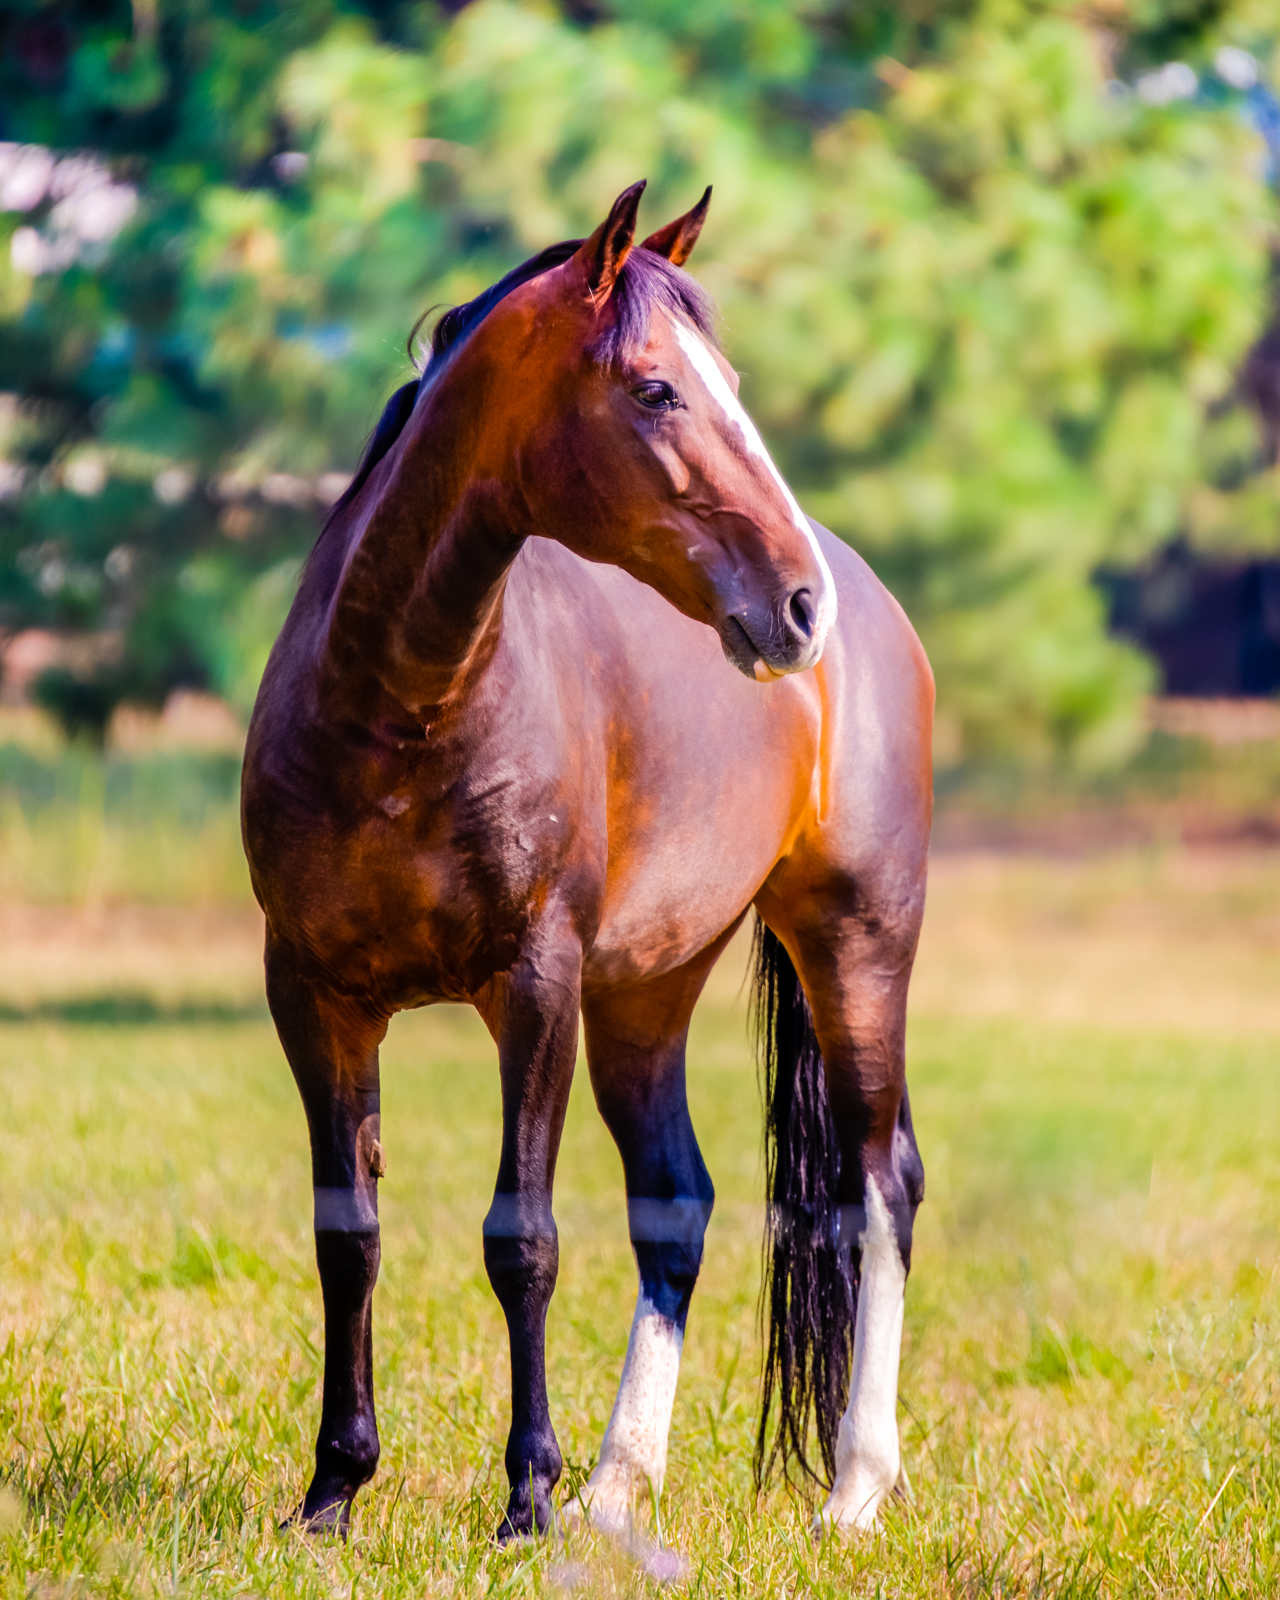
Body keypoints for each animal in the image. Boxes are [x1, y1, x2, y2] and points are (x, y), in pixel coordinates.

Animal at [241, 180, 933, 1546]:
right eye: (657, 389)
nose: (796, 605)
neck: (398, 710)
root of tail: (875, 605)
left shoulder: (533, 988)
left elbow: (523, 1239)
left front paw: (525, 1495)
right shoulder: (314, 995)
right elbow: (347, 1233)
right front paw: (333, 1489)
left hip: (853, 946)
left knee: (880, 1184)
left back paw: (852, 1488)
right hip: (646, 994)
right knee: (678, 1202)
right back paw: (622, 1483)